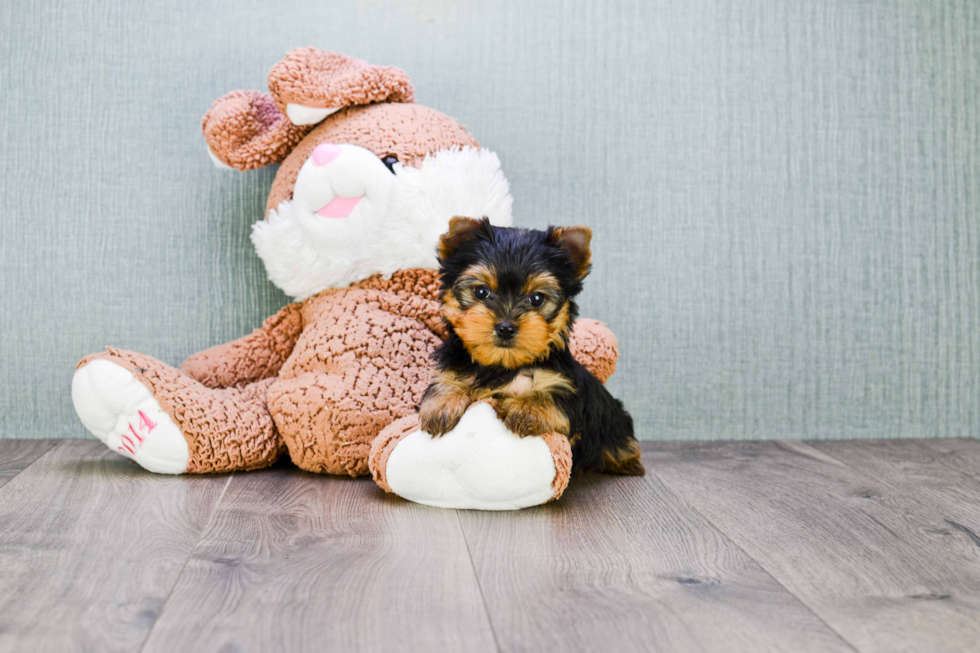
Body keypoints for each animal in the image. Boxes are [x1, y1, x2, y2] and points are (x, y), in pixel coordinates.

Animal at [420, 216, 644, 476]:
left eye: (537, 298)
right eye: (481, 291)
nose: (506, 327)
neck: (503, 365)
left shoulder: (566, 389)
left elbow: (551, 398)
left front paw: (526, 409)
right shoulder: (455, 365)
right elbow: (446, 380)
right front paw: (441, 404)